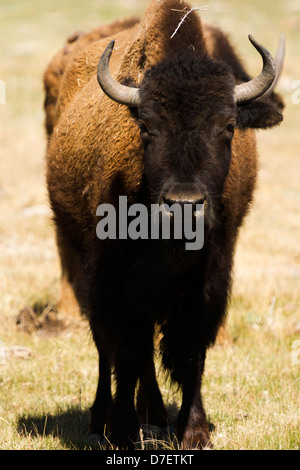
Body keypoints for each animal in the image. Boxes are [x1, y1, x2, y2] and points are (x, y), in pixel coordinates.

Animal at [45, 0, 284, 448]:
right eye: (146, 127)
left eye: (228, 127)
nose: (184, 205)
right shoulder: (116, 277)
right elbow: (127, 349)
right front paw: (123, 430)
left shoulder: (210, 277)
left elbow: (190, 349)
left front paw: (193, 430)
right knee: (107, 347)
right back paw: (102, 420)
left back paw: (154, 415)